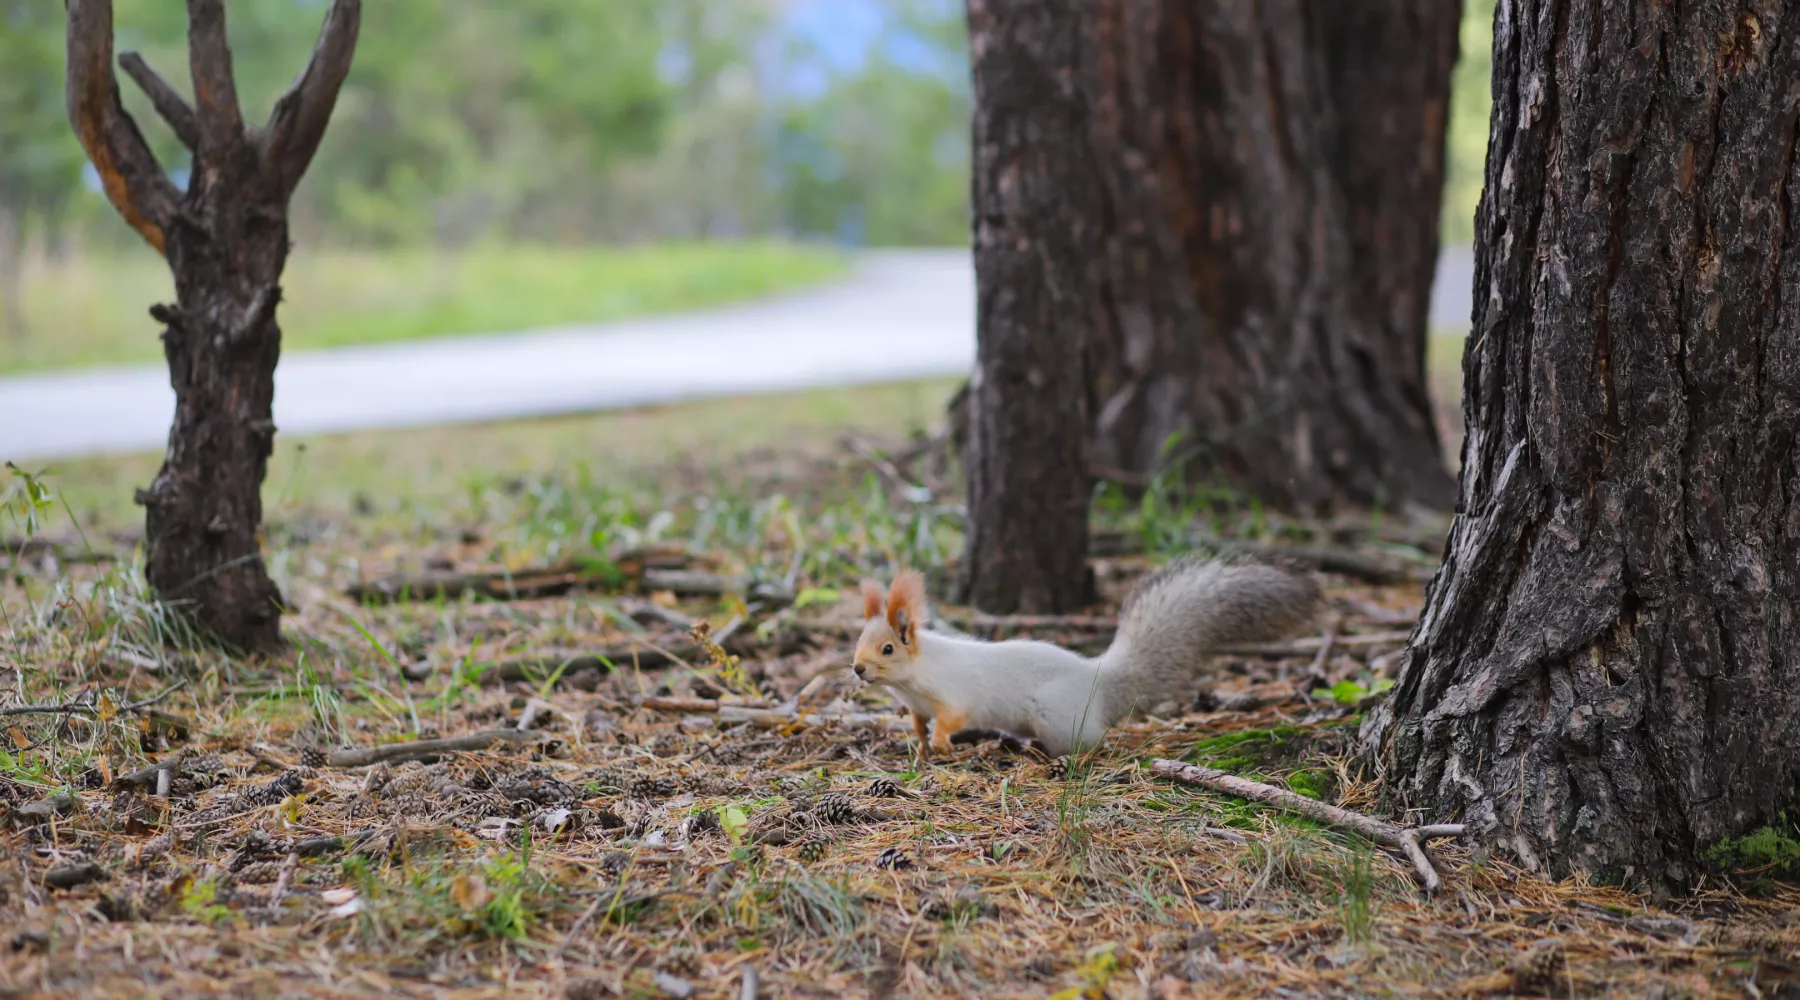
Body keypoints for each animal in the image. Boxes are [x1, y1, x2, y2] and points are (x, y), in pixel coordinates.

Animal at [849, 553, 1317, 758]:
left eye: (888, 648)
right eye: (857, 641)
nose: (857, 669)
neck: (912, 680)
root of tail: (1101, 679)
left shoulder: (954, 694)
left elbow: (953, 717)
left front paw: (943, 741)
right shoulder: (916, 704)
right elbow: (918, 722)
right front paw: (920, 743)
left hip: (1057, 715)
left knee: (1093, 740)